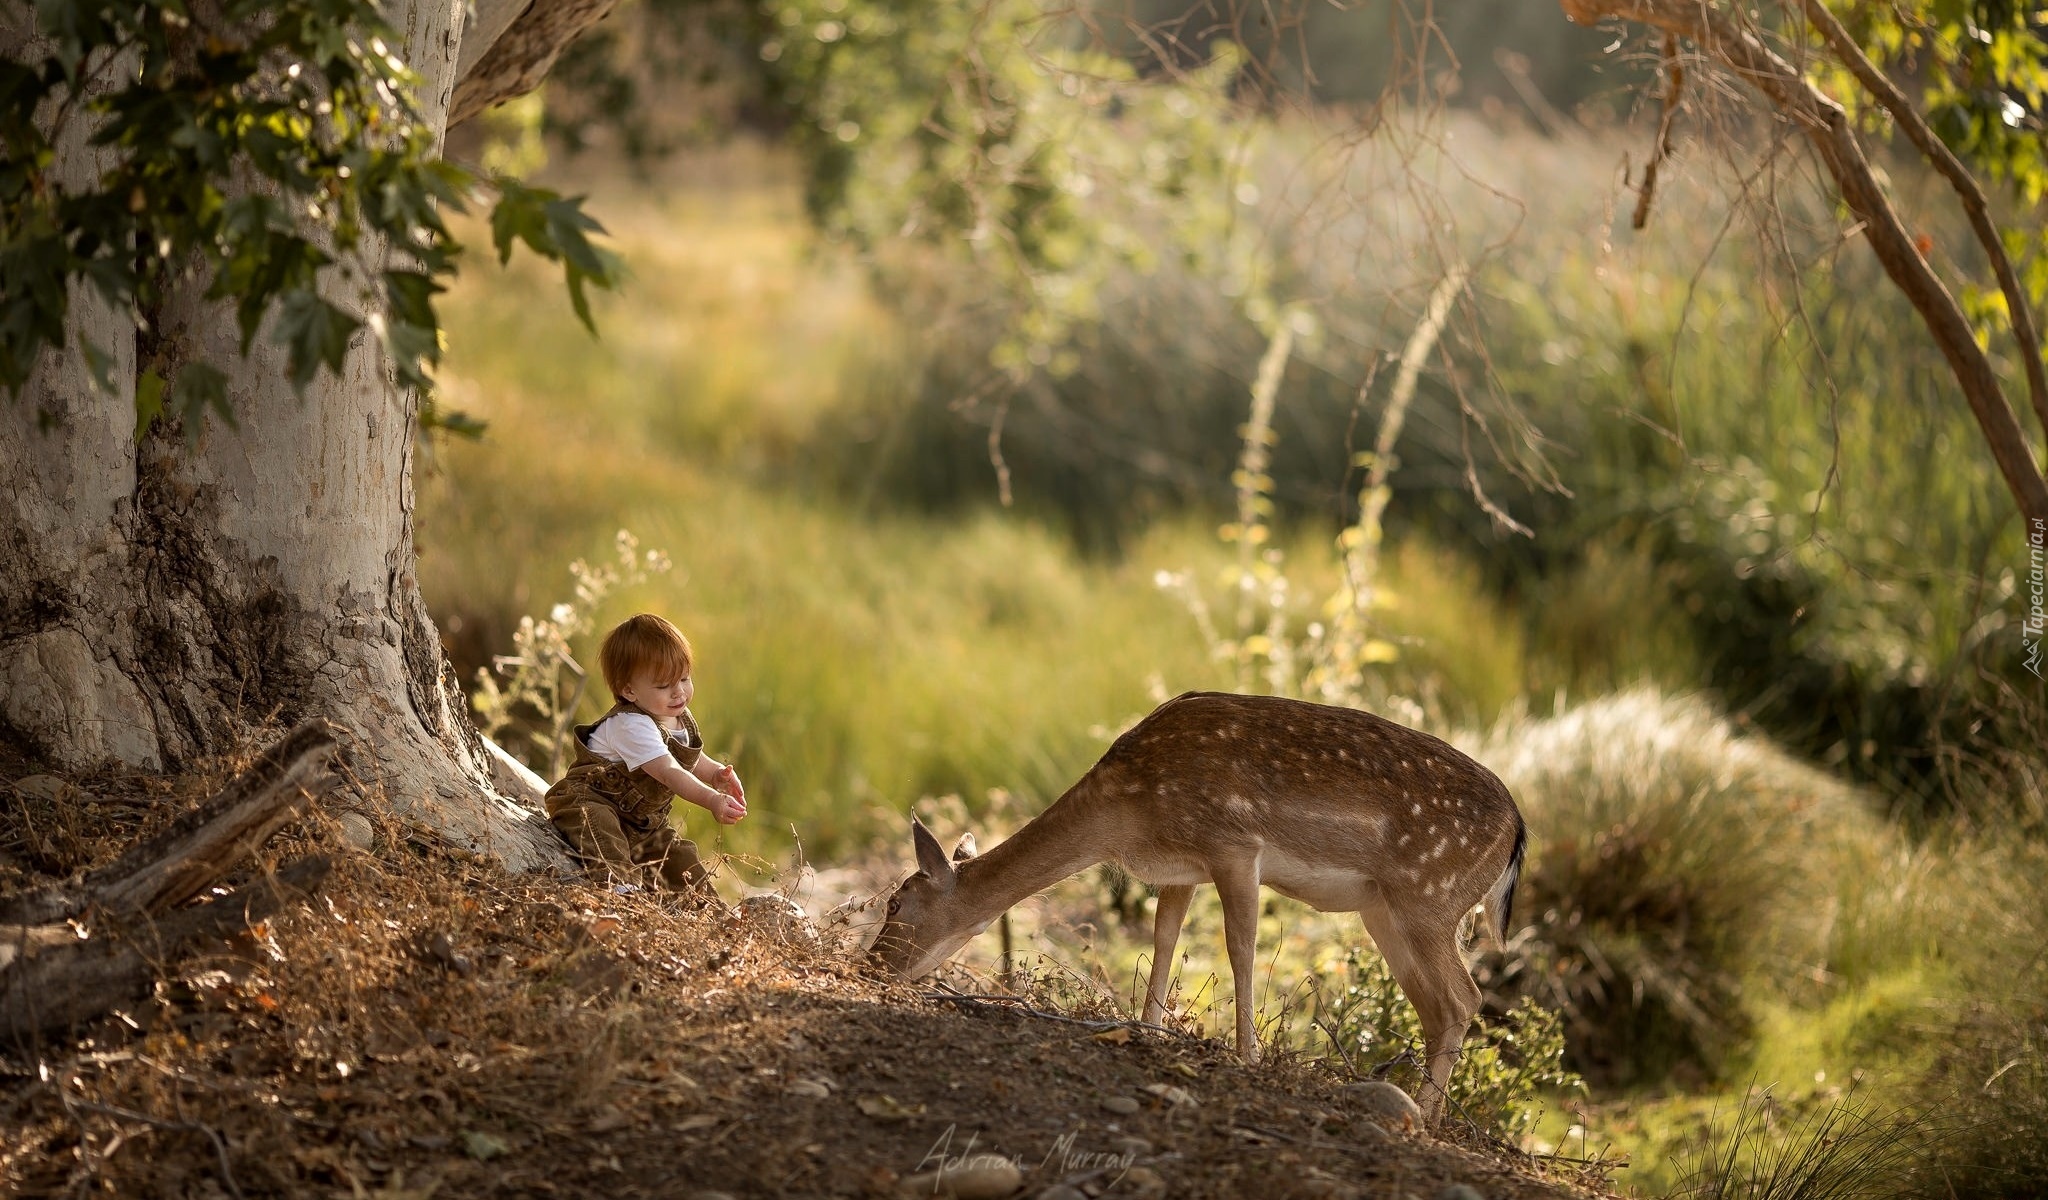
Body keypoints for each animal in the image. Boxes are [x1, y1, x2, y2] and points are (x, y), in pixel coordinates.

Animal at [872, 683, 1531, 1122]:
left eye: (895, 905)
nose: (874, 966)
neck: (1126, 813)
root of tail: (1520, 830)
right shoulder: (1179, 868)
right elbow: (1165, 939)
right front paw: (1146, 1028)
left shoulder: (1234, 844)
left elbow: (1240, 947)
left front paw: (1245, 1055)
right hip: (1386, 911)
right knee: (1438, 1006)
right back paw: (1424, 1111)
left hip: (1429, 898)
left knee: (1464, 997)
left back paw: (1426, 1119)